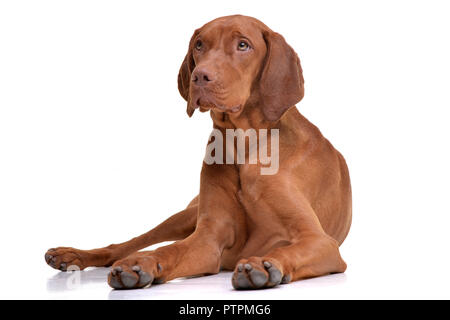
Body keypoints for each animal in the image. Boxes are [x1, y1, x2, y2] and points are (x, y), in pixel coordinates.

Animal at [44, 15, 352, 290]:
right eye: (200, 45)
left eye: (243, 45)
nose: (200, 76)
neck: (244, 145)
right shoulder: (208, 239)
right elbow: (168, 250)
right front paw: (142, 264)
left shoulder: (319, 241)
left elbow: (287, 250)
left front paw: (265, 265)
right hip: (186, 215)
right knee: (129, 244)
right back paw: (74, 255)